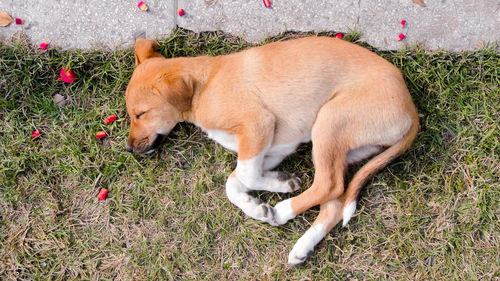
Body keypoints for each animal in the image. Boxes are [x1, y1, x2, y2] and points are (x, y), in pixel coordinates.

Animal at [124, 36, 418, 264]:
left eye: (140, 114)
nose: (128, 149)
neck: (205, 84)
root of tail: (412, 111)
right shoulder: (274, 146)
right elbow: (233, 182)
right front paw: (259, 203)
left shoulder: (258, 125)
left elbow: (245, 175)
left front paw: (279, 190)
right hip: (340, 147)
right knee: (335, 201)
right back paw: (301, 247)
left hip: (329, 121)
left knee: (329, 184)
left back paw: (284, 210)